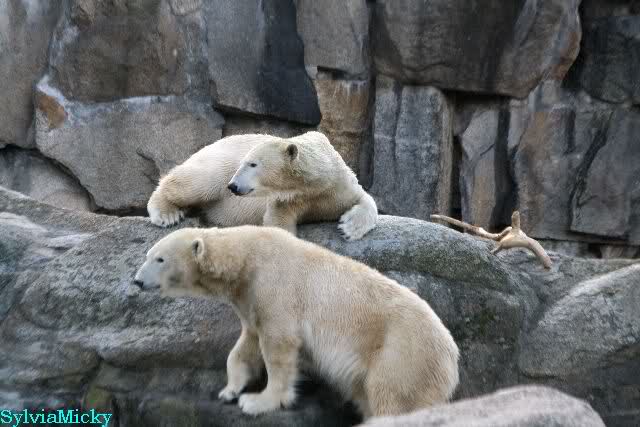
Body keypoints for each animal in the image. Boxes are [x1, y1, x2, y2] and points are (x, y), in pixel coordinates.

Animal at [133, 226, 460, 419]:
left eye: (159, 259)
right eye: (148, 255)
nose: (136, 280)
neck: (245, 257)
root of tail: (451, 353)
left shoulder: (275, 285)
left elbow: (279, 346)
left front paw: (258, 401)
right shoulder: (250, 297)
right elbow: (246, 343)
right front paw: (230, 390)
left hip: (401, 353)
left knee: (392, 398)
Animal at [147, 131, 378, 240]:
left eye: (252, 164)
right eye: (245, 162)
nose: (233, 186)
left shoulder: (337, 185)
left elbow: (364, 198)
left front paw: (349, 228)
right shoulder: (286, 199)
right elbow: (277, 223)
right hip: (218, 161)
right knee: (200, 181)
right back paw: (167, 214)